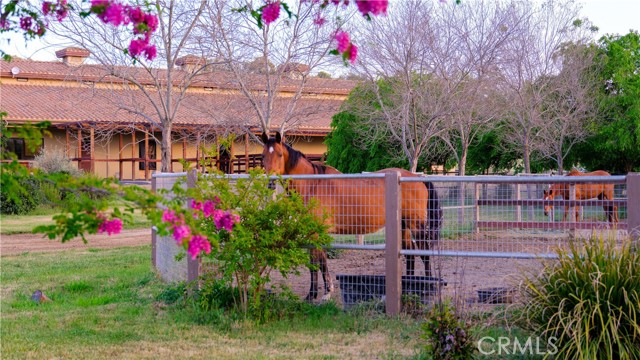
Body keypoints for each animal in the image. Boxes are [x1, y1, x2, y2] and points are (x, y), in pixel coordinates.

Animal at [260, 132, 440, 300]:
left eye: (280, 154)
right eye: (263, 156)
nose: (270, 182)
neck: (313, 184)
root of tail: (416, 178)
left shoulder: (316, 231)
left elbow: (316, 261)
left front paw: (316, 294)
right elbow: (320, 260)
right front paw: (322, 292)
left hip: (415, 224)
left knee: (424, 253)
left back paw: (427, 287)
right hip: (403, 225)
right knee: (409, 253)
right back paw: (409, 286)